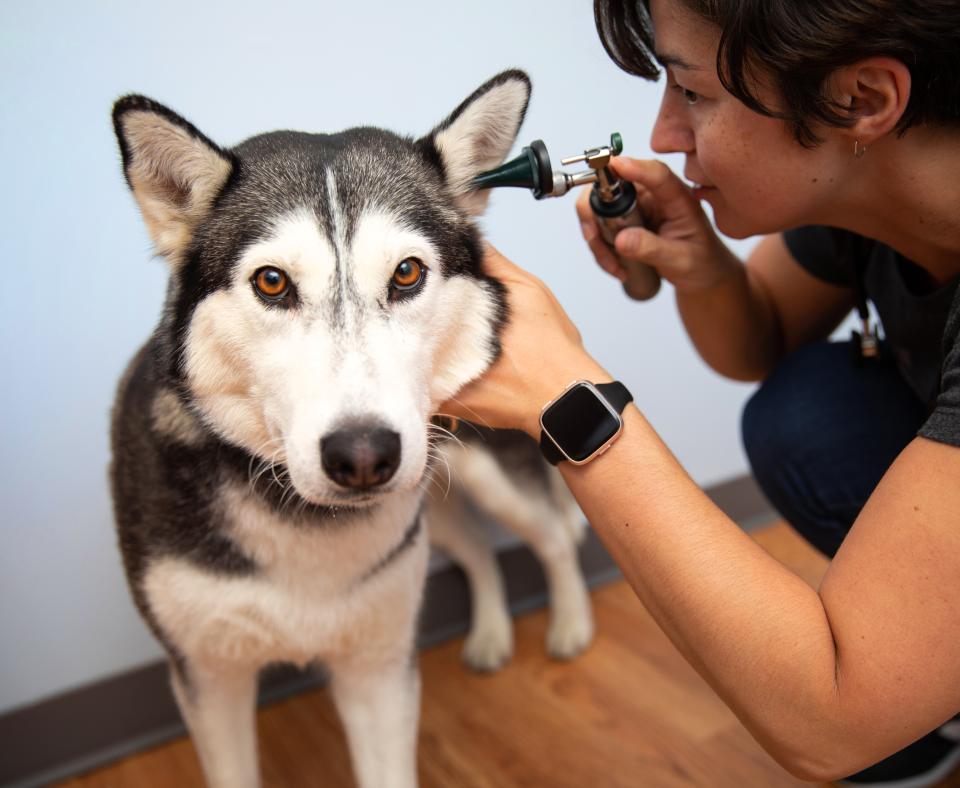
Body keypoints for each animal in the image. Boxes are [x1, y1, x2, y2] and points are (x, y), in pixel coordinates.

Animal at [110, 69, 592, 788]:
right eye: (272, 282)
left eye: (407, 272)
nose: (364, 455)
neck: (300, 519)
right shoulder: (209, 678)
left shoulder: (379, 670)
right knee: (478, 548)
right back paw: (489, 635)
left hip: (488, 472)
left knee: (553, 536)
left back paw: (569, 623)